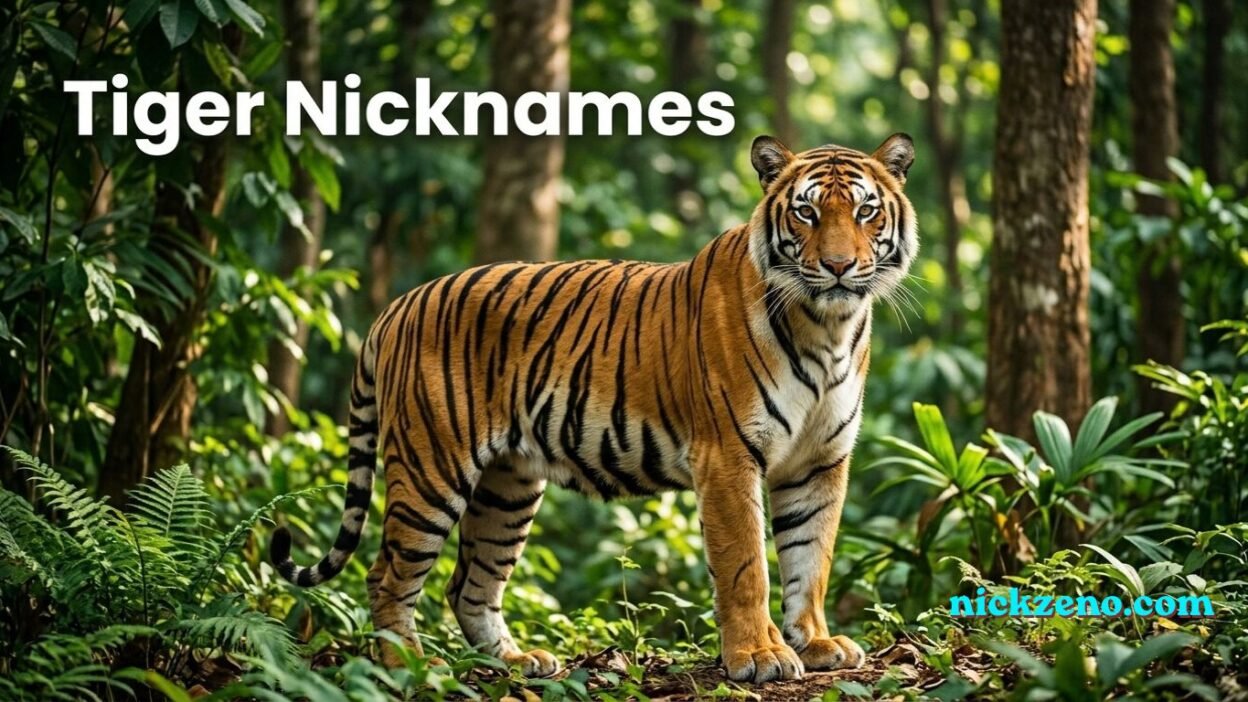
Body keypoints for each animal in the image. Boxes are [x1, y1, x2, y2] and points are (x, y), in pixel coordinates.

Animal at [270, 133, 917, 683]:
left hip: (507, 487)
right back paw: (407, 666)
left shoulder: (819, 461)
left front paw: (816, 643)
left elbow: (811, 559)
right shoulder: (728, 457)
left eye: (865, 212)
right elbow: (746, 568)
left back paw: (518, 661)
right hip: (432, 469)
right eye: (806, 213)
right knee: (386, 576)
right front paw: (759, 656)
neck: (828, 326)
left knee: (469, 584)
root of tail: (398, 305)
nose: (838, 266)